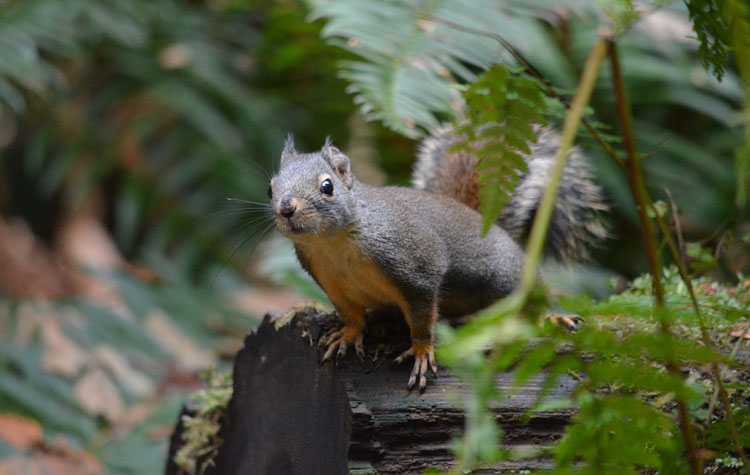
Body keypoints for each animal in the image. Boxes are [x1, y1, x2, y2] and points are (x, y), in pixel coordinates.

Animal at [268, 125, 607, 391]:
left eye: (327, 186)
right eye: (271, 188)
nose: (286, 208)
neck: (332, 243)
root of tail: (485, 223)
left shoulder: (416, 265)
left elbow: (421, 317)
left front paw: (421, 351)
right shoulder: (330, 281)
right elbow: (350, 314)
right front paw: (347, 336)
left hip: (505, 273)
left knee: (530, 295)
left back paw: (551, 317)